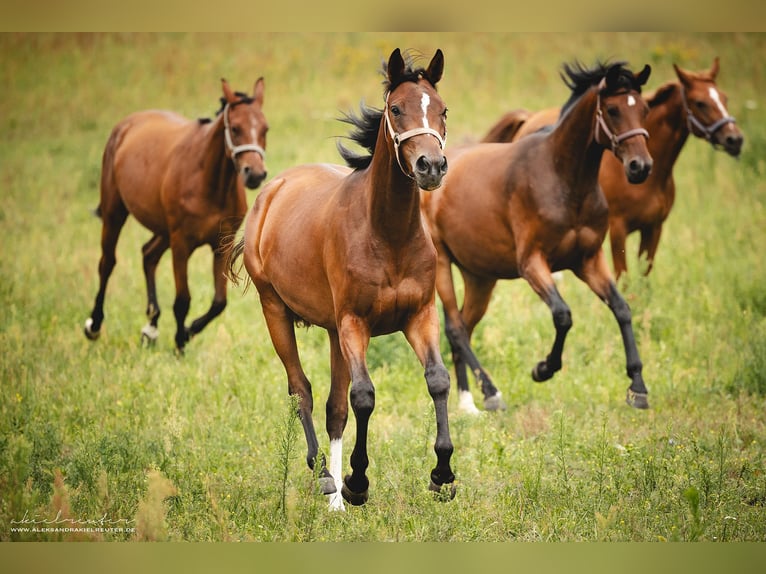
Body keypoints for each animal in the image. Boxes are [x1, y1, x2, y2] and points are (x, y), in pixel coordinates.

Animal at [83, 79, 268, 354]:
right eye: (235, 128)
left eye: (265, 128)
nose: (254, 174)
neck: (209, 182)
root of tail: (127, 124)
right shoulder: (181, 243)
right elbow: (183, 299)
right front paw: (181, 341)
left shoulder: (221, 245)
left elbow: (219, 302)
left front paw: (189, 331)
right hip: (115, 213)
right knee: (107, 263)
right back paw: (94, 325)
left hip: (163, 230)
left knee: (148, 255)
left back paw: (151, 327)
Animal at [228, 47, 456, 510]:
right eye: (396, 108)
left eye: (442, 110)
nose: (431, 166)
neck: (388, 235)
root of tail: (273, 188)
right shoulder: (355, 322)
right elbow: (364, 396)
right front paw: (357, 481)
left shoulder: (420, 316)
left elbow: (437, 380)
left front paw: (442, 474)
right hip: (275, 310)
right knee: (301, 389)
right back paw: (325, 478)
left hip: (334, 331)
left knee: (335, 407)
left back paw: (333, 495)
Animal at [424, 62, 656, 414]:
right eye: (613, 110)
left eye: (643, 109)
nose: (639, 167)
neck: (563, 178)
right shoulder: (532, 263)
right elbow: (562, 315)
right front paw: (543, 369)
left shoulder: (588, 260)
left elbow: (621, 308)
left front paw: (638, 388)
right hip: (442, 267)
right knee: (455, 327)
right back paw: (490, 394)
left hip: (480, 277)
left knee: (463, 326)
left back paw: (468, 400)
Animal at [486, 57, 744, 280]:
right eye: (701, 103)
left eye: (725, 98)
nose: (735, 139)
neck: (653, 180)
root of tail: (529, 118)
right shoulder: (618, 230)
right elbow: (624, 278)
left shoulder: (654, 228)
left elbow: (644, 278)